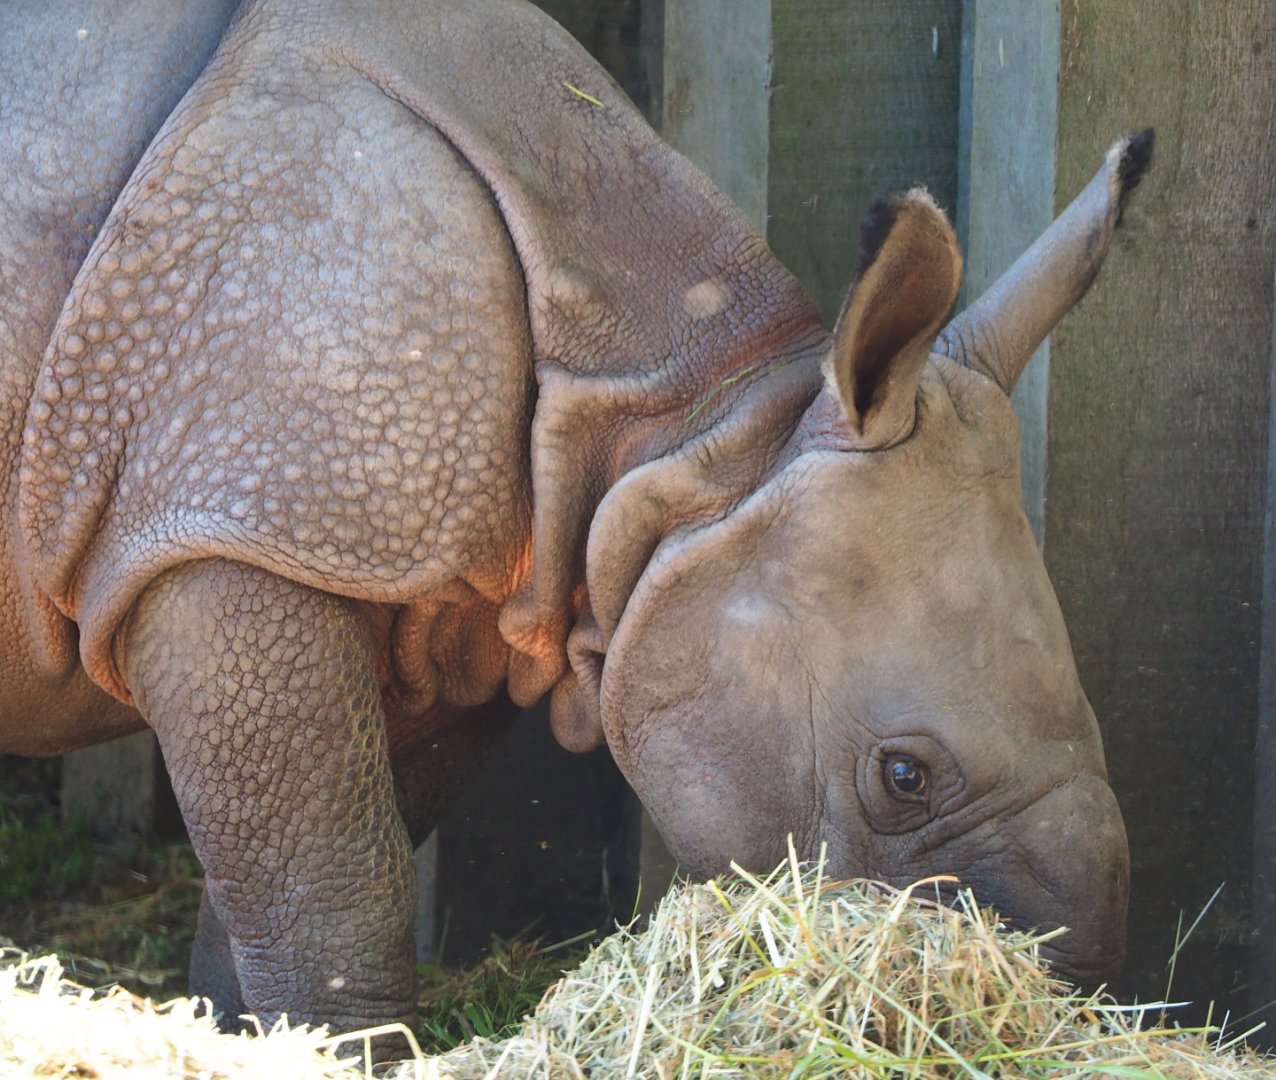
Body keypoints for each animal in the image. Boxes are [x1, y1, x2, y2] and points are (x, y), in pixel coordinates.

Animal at [0, 0, 1150, 1037]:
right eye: (905, 778)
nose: (1062, 991)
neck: (693, 436)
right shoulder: (232, 532)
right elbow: (328, 892)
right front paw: (339, 1045)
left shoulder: (424, 604)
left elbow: (316, 863)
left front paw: (251, 1032)